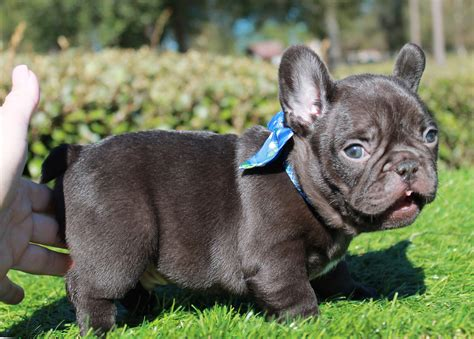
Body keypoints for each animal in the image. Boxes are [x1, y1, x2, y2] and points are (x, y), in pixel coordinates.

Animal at [42, 43, 438, 336]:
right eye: (355, 151)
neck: (298, 181)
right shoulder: (272, 257)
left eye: (431, 135)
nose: (407, 165)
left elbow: (336, 273)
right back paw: (100, 326)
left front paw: (359, 291)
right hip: (120, 245)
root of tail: (81, 152)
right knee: (89, 286)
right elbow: (294, 289)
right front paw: (311, 323)